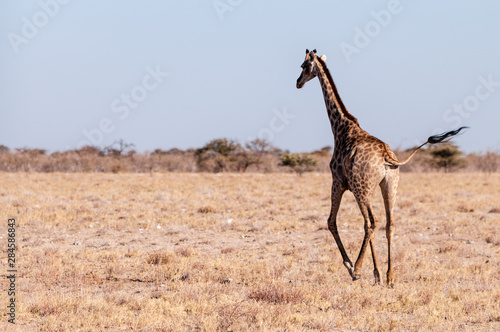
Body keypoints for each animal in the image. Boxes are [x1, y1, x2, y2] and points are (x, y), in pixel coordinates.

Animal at [294, 48, 466, 286]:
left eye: (303, 66)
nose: (297, 82)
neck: (340, 127)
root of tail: (387, 156)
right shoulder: (363, 187)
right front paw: (376, 274)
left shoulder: (338, 182)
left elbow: (331, 222)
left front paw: (353, 266)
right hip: (389, 185)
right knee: (388, 224)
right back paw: (390, 276)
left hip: (361, 188)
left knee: (370, 223)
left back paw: (357, 269)